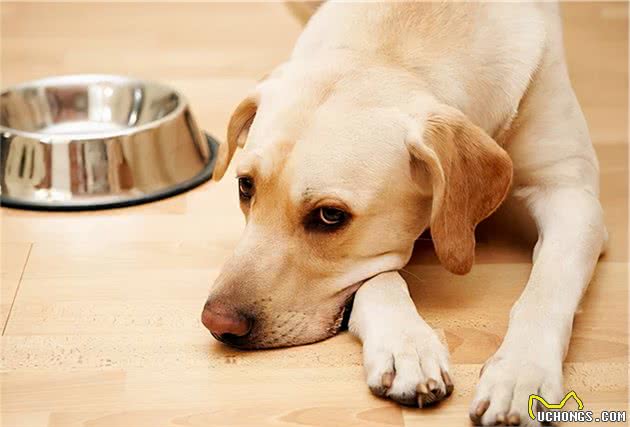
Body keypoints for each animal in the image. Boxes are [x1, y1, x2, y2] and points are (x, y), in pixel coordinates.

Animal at [201, 2, 608, 424]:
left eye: (330, 216)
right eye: (245, 186)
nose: (217, 322)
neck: (395, 49)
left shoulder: (570, 194)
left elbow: (549, 285)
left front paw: (521, 373)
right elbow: (378, 278)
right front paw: (406, 346)